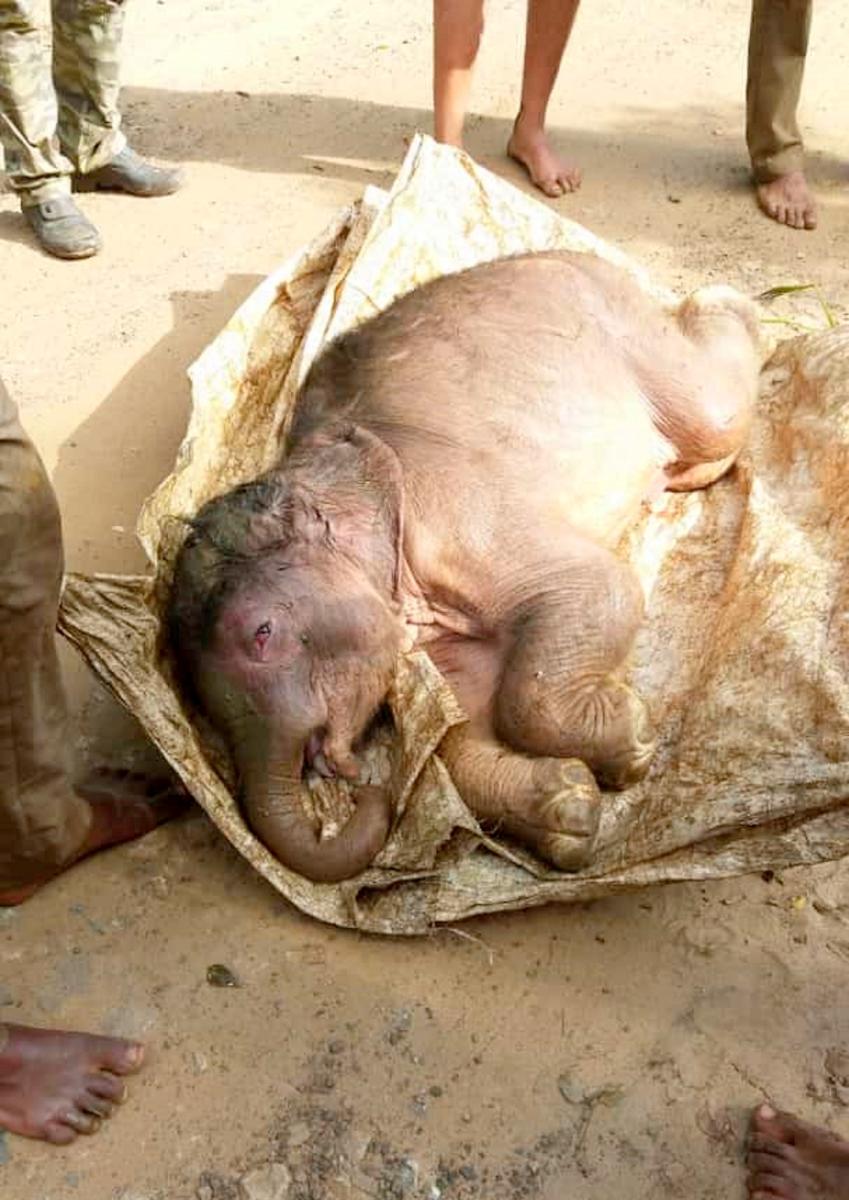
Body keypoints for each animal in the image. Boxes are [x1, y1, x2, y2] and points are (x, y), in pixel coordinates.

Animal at [167, 250, 761, 882]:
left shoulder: (461, 520)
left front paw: (634, 736)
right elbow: (461, 727)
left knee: (712, 407)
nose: (368, 788)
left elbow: (603, 588)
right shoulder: (433, 634)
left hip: (637, 338)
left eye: (262, 633)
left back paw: (720, 299)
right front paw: (571, 810)